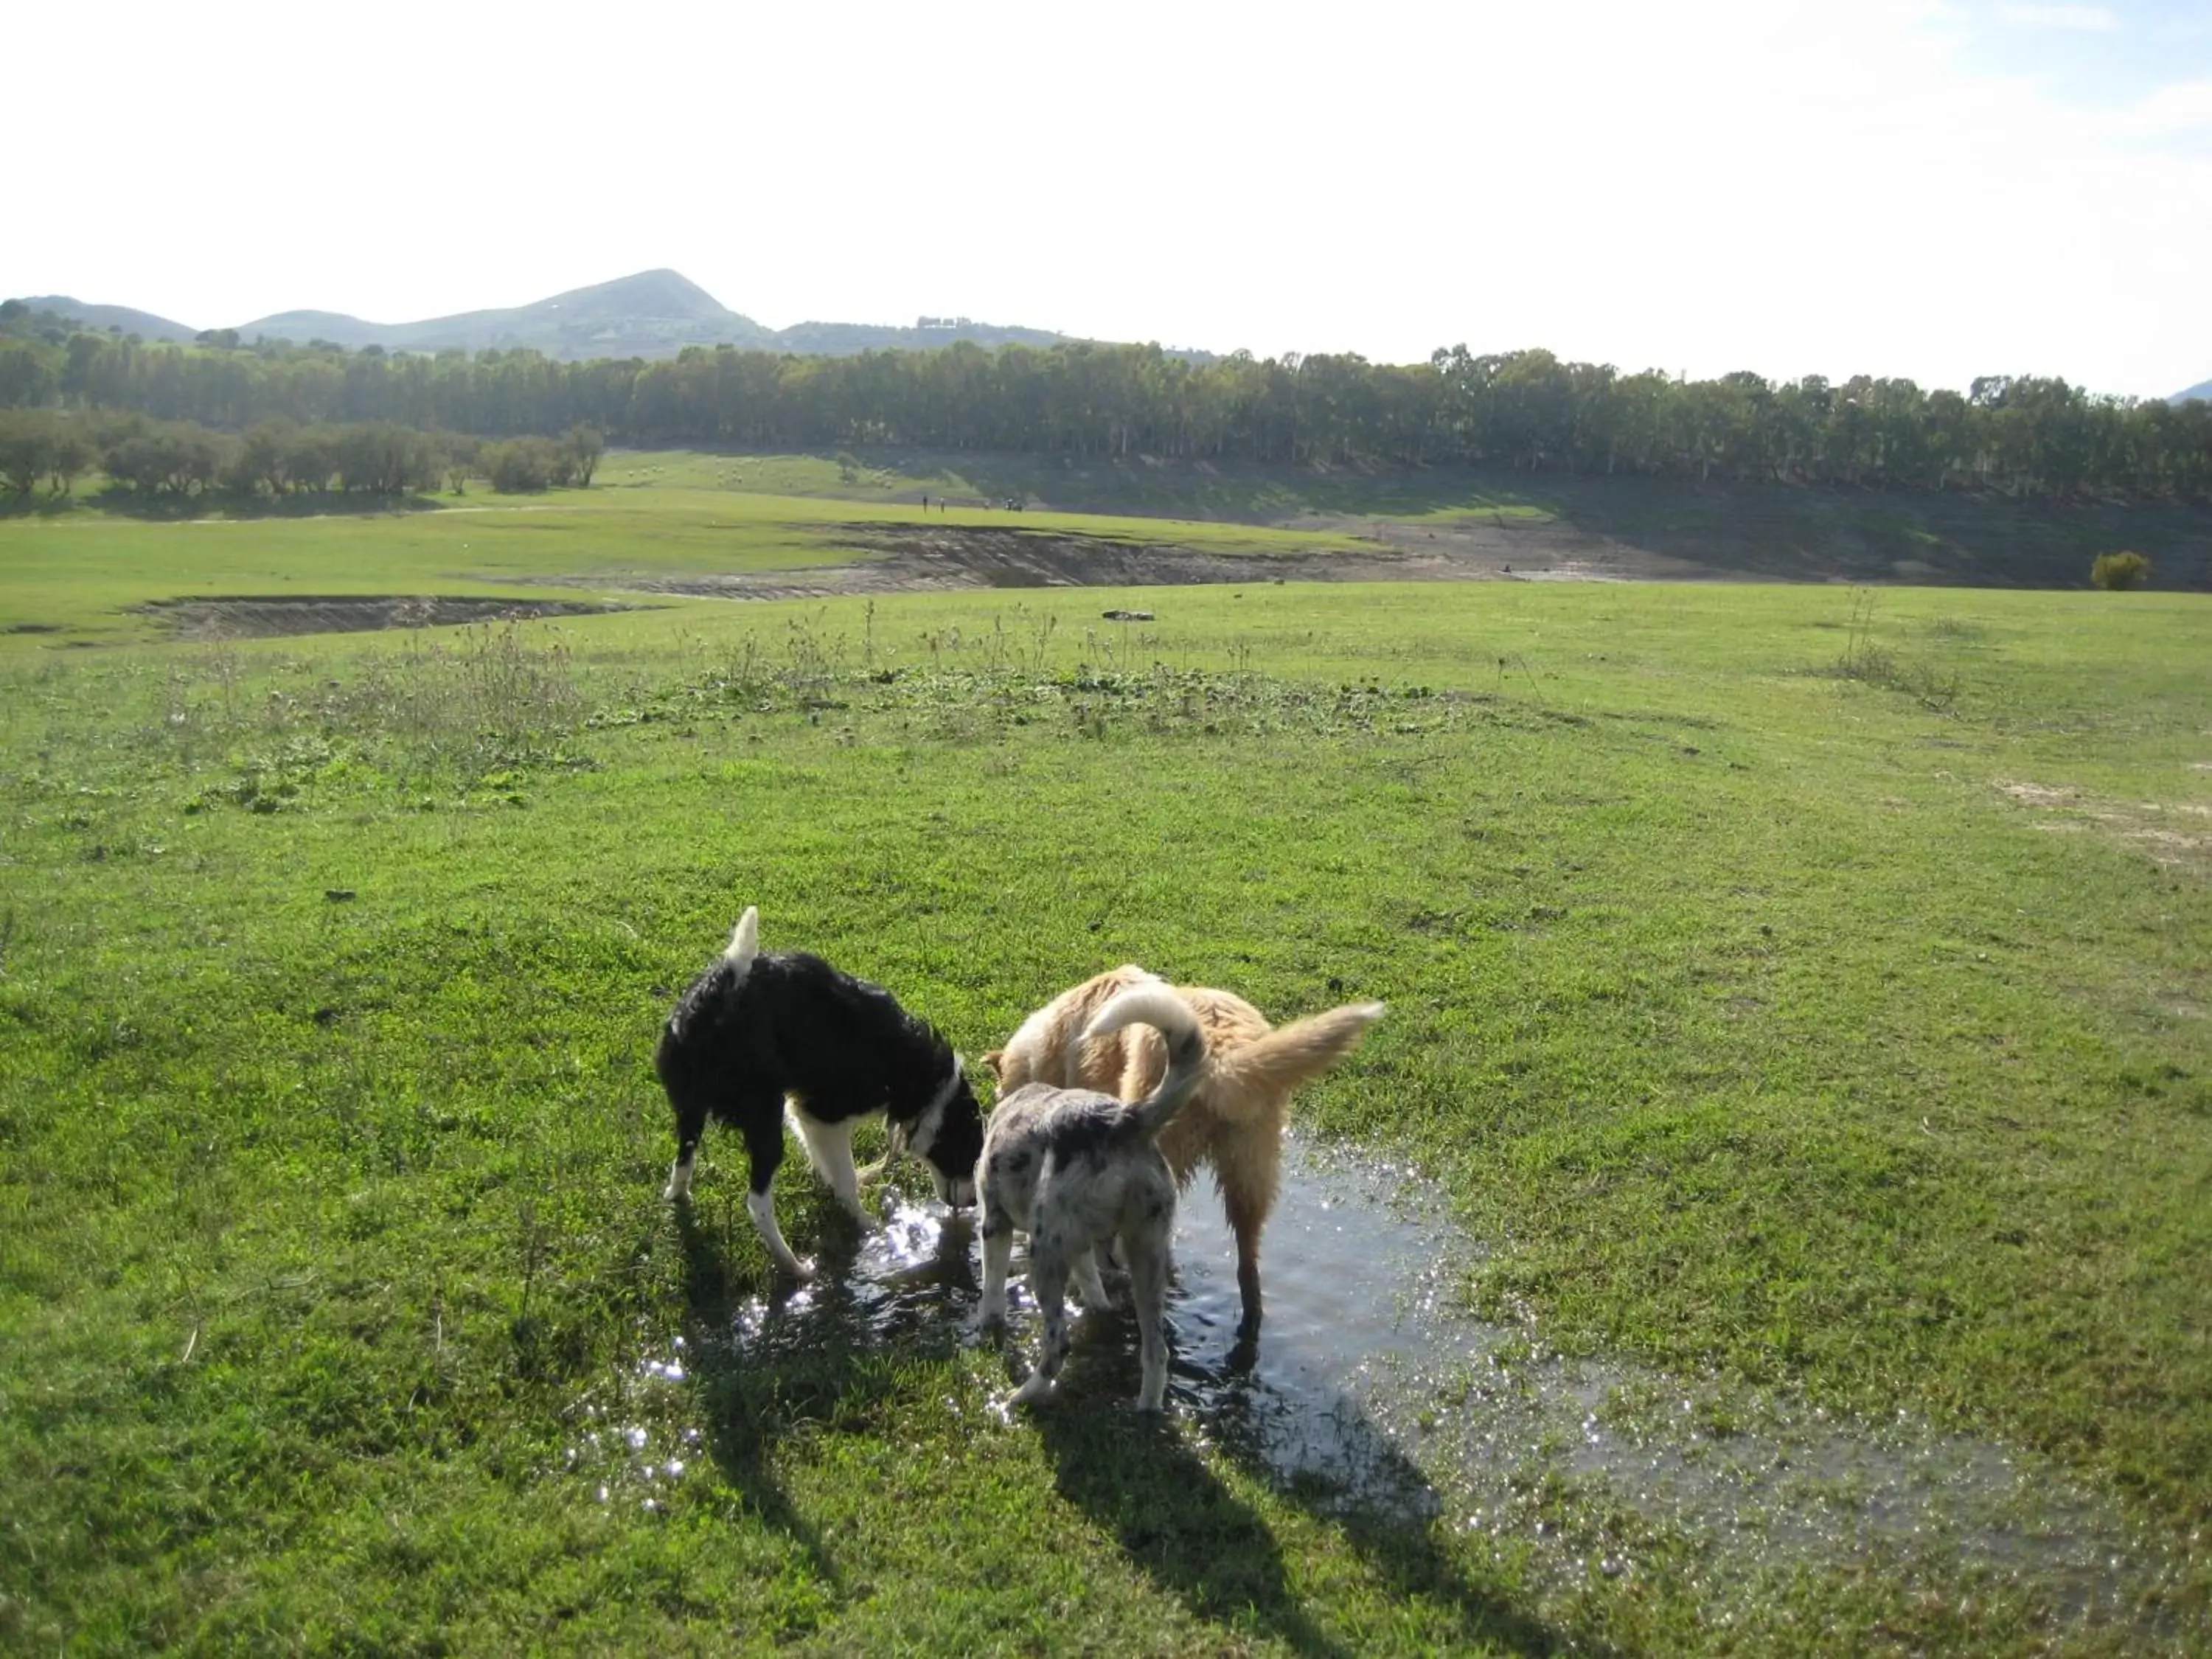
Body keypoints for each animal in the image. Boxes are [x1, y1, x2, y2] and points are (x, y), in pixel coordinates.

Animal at [655, 911, 987, 1283]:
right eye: (969, 1153)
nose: (973, 1205)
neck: (920, 1076)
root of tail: (721, 987)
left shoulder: (804, 1111)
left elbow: (827, 1164)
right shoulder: (825, 1114)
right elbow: (846, 1179)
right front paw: (869, 1227)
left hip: (691, 1111)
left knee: (683, 1161)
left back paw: (678, 1196)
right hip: (763, 1119)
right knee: (757, 1203)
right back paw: (795, 1267)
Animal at [978, 987, 1203, 1416]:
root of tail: (1123, 1121)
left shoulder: (994, 1223)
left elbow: (991, 1289)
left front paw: (988, 1326)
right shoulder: (1082, 1246)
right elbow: (1094, 1286)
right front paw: (1099, 1308)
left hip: (1044, 1251)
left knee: (1057, 1345)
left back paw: (1023, 1397)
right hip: (1147, 1253)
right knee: (1156, 1352)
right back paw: (1146, 1411)